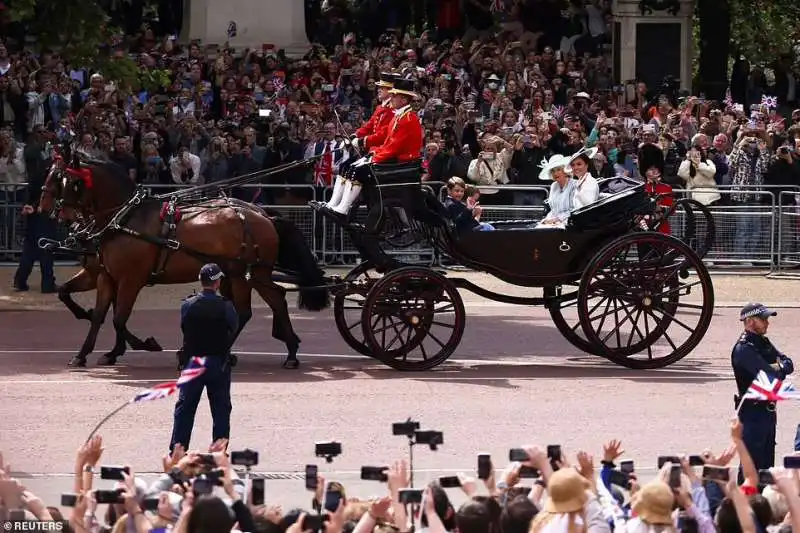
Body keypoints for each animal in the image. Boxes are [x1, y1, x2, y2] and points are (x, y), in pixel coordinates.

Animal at [36, 158, 332, 368]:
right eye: (53, 177)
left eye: (67, 182)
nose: (46, 210)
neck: (124, 219)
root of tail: (262, 214)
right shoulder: (105, 275)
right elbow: (98, 314)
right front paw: (88, 352)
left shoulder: (131, 279)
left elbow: (119, 317)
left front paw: (145, 344)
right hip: (245, 274)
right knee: (271, 301)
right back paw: (282, 350)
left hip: (246, 273)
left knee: (251, 309)